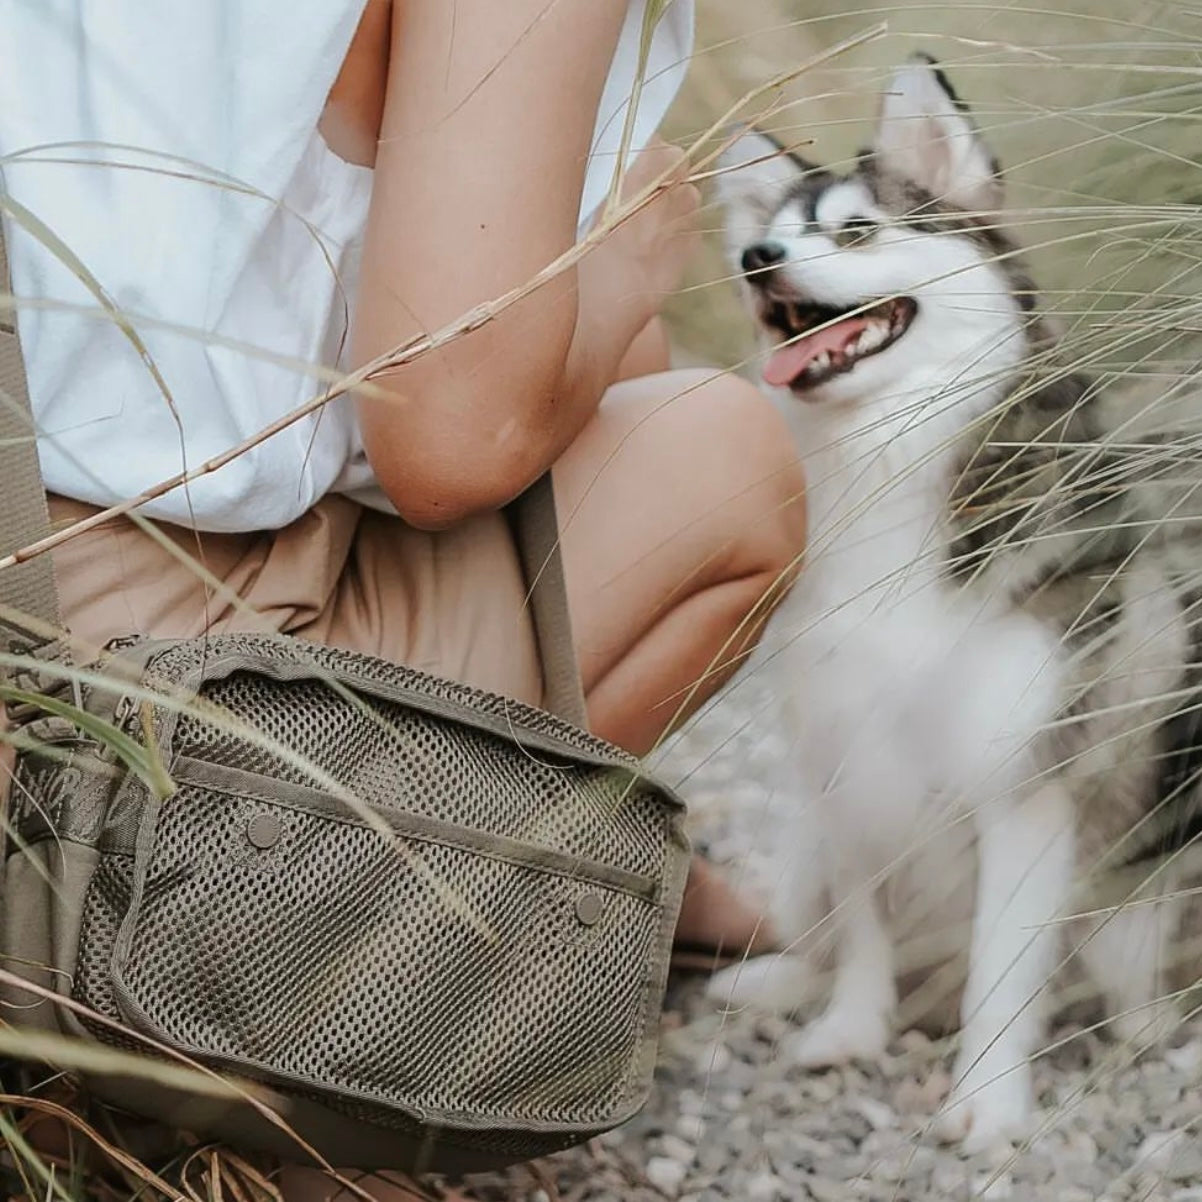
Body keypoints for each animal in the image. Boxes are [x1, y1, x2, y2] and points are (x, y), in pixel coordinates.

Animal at [706, 56, 1197, 1153]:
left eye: (856, 230)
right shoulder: (840, 757)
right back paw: (780, 983)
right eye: (771, 236)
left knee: (1124, 975)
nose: (758, 259)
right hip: (803, 844)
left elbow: (1002, 971)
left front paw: (989, 1101)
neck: (882, 468)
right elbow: (860, 930)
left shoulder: (1025, 783)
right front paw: (851, 1026)